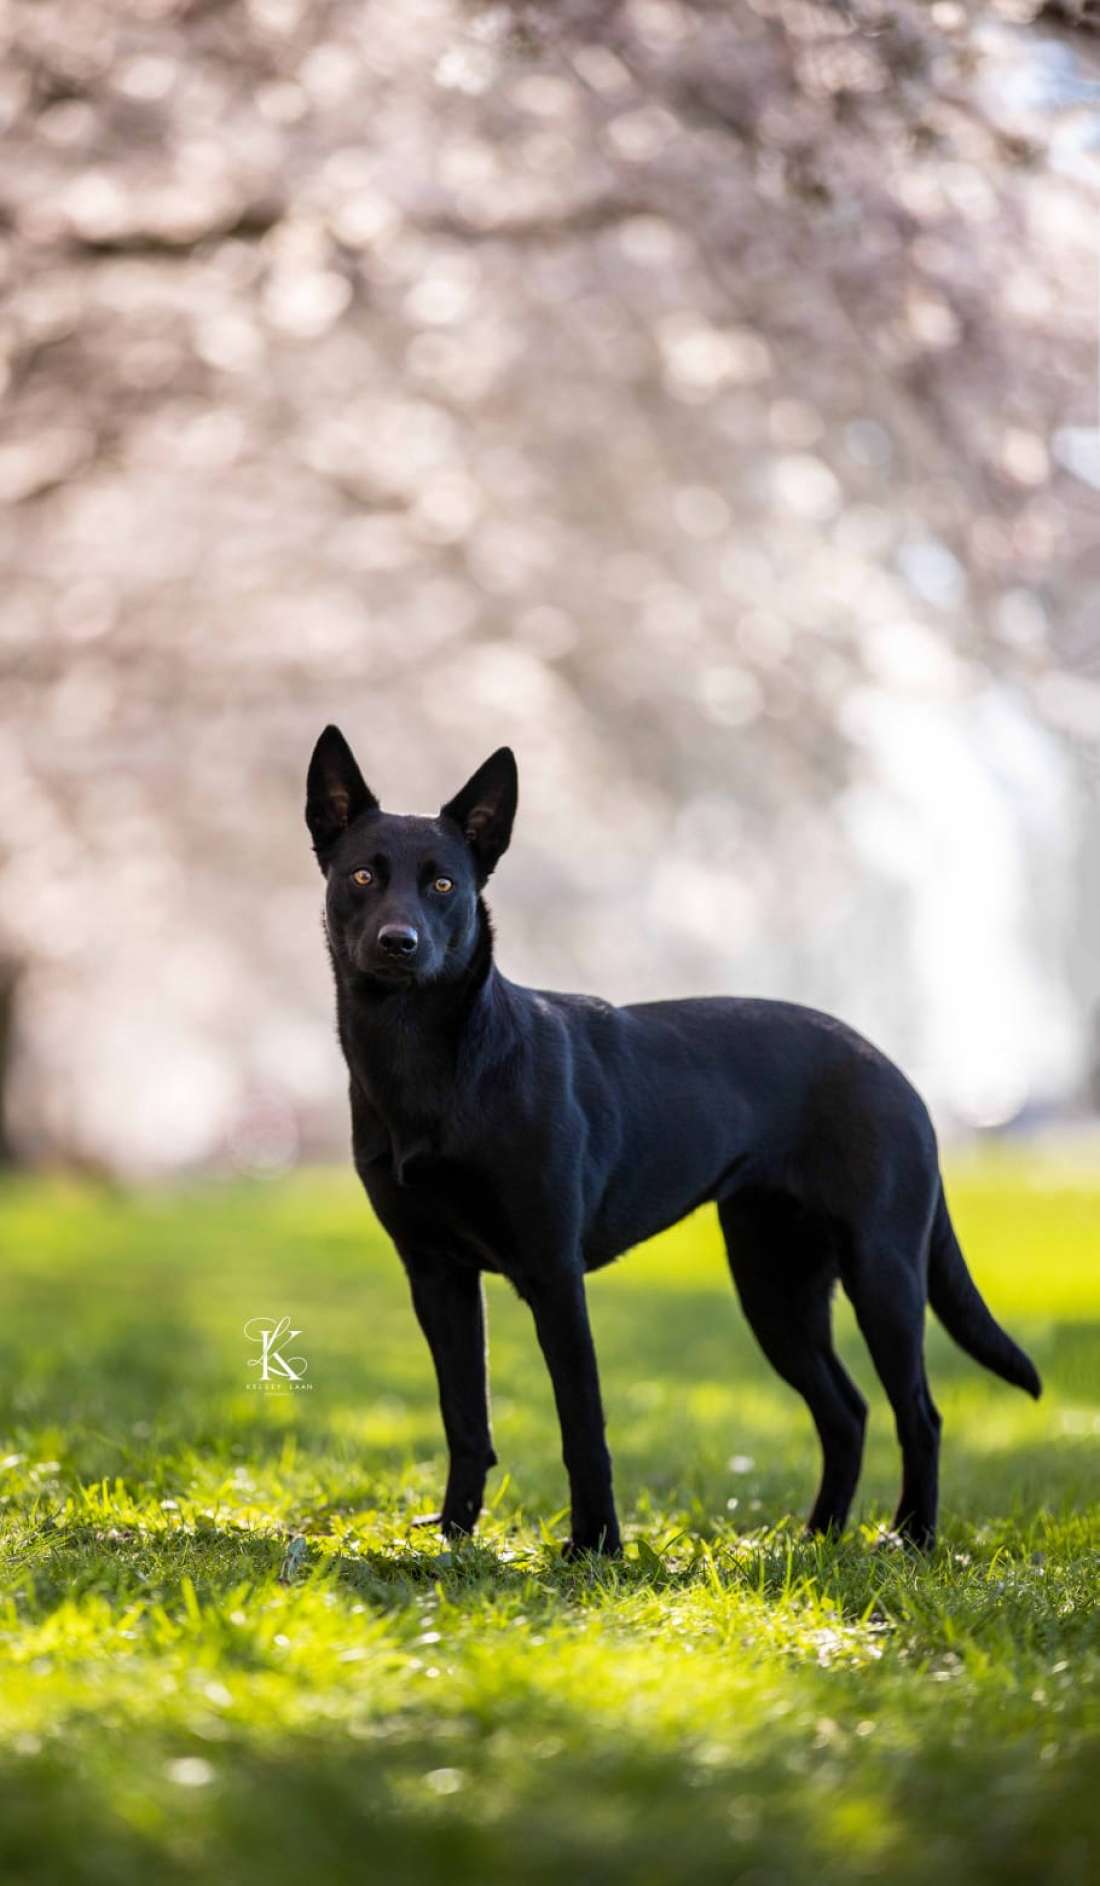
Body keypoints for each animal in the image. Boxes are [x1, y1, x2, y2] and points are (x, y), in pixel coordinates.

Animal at [307, 727, 1041, 1554]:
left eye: (442, 885)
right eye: (362, 875)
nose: (398, 943)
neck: (428, 1061)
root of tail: (891, 1069)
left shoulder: (552, 1274)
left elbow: (582, 1423)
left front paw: (594, 1547)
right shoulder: (436, 1275)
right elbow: (466, 1419)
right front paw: (456, 1541)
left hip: (882, 1271)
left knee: (918, 1412)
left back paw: (910, 1538)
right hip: (774, 1284)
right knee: (846, 1411)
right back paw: (819, 1539)